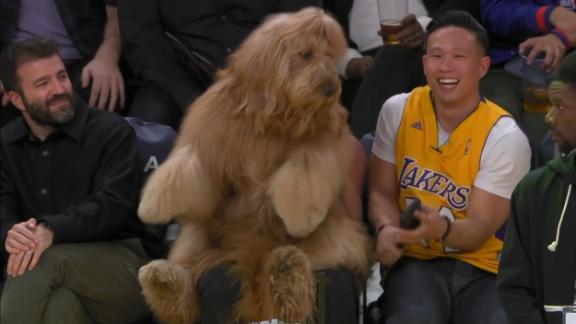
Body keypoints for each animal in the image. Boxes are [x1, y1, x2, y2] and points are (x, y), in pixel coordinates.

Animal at [140, 8, 374, 324]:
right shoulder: (209, 133)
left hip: (331, 242)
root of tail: (255, 256)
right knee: (188, 282)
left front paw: (300, 215)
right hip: (200, 241)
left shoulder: (318, 144)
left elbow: (307, 169)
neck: (272, 117)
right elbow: (187, 162)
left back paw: (286, 270)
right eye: (307, 54)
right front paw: (153, 204)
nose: (331, 89)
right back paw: (163, 280)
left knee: (305, 280)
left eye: (327, 55)